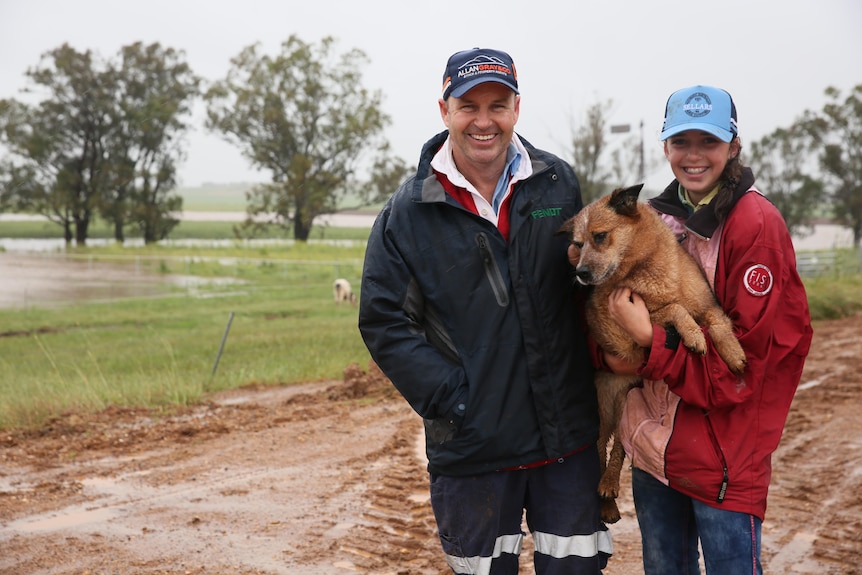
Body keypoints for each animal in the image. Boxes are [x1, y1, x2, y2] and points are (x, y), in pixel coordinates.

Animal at [560, 183, 748, 520]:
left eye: (599, 236)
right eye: (577, 244)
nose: (580, 273)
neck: (646, 266)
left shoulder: (707, 305)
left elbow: (717, 322)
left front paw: (733, 353)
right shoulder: (630, 333)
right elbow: (674, 309)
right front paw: (693, 336)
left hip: (626, 401)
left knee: (619, 447)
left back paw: (609, 491)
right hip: (601, 412)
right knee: (599, 451)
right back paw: (606, 494)